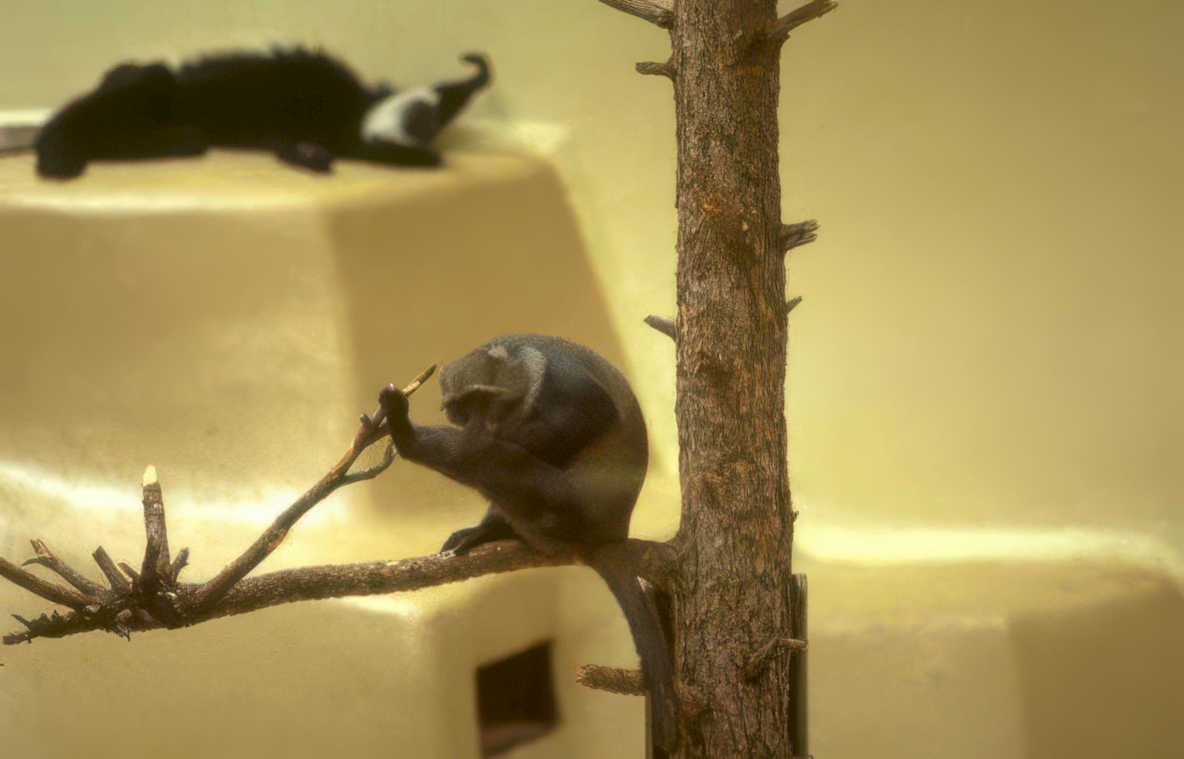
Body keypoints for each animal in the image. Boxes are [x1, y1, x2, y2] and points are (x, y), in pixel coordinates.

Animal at [367, 334, 679, 750]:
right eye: (463, 406)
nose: (478, 423)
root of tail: (608, 534)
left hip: (562, 505)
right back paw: (489, 527)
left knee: (491, 459)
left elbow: (593, 416)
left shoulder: (563, 381)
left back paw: (413, 440)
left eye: (484, 399)